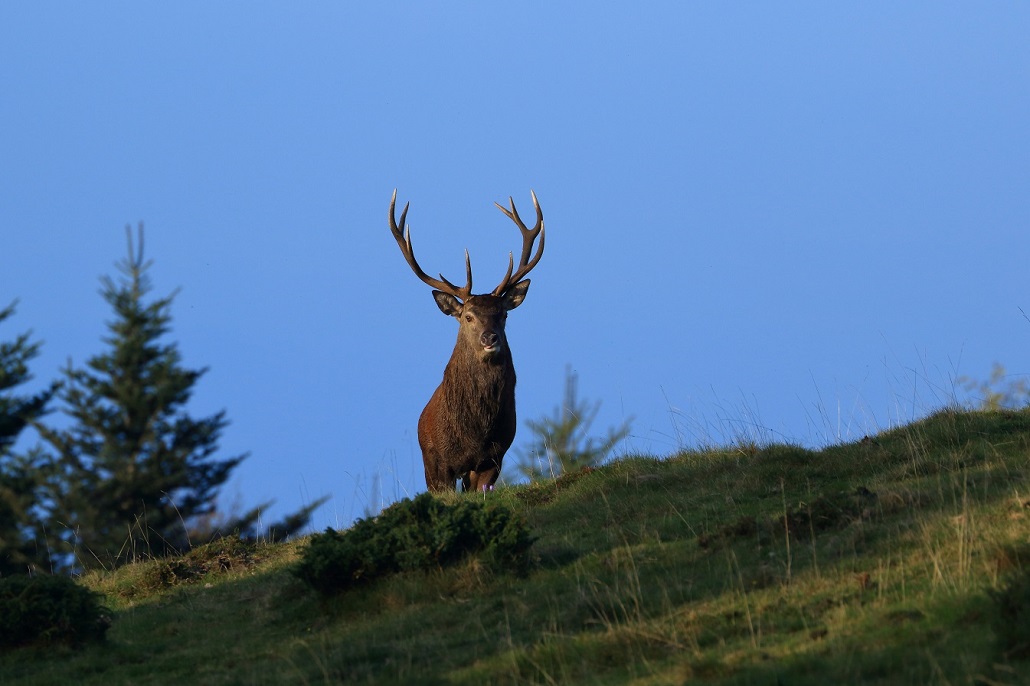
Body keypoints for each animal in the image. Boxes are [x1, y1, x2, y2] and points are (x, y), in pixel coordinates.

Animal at [387, 188, 547, 492]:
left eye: (503, 314)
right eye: (468, 317)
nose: (490, 337)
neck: (476, 433)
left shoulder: (494, 458)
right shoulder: (439, 463)